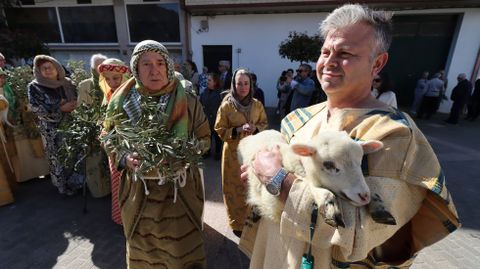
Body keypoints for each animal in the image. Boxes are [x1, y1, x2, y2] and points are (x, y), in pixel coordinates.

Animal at [237, 128, 398, 226]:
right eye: (329, 165)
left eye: (361, 161)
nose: (364, 196)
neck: (296, 163)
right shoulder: (273, 202)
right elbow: (310, 185)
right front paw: (329, 205)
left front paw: (378, 206)